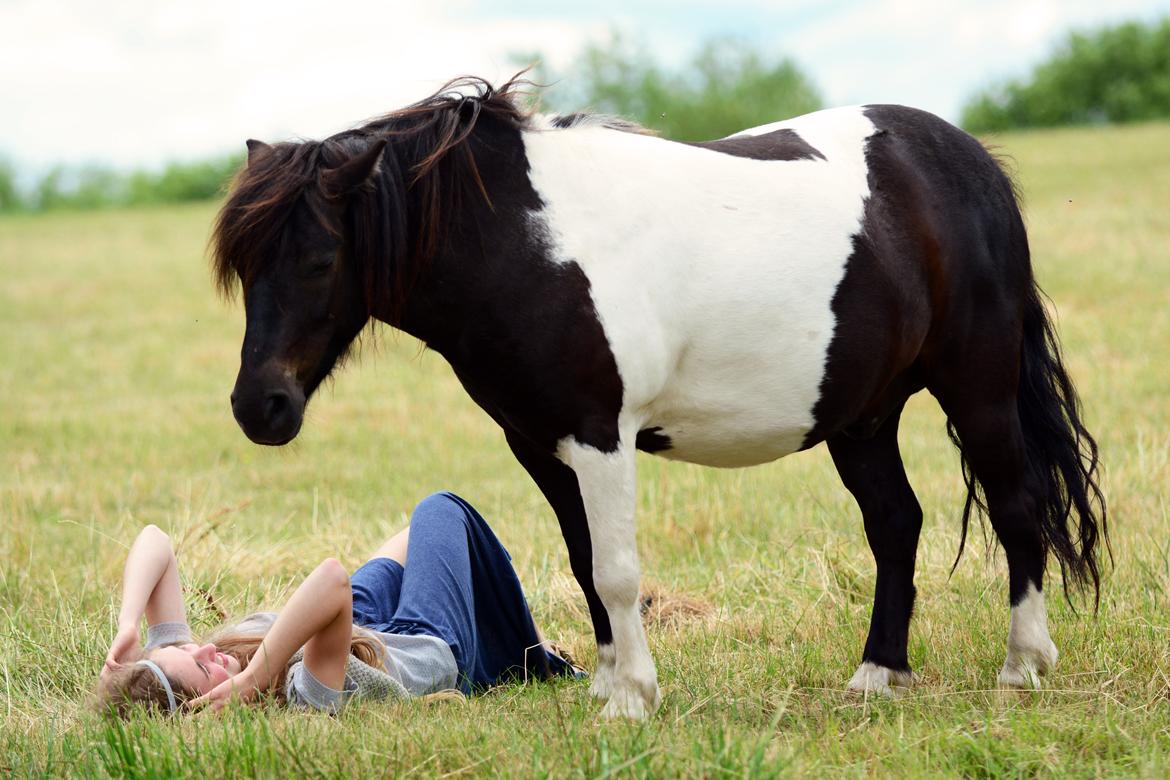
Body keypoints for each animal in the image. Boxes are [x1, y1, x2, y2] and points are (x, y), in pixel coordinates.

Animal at [210, 74, 1104, 720]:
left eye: (322, 259)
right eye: (246, 268)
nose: (261, 410)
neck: (525, 243)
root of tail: (970, 163)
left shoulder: (600, 437)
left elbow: (615, 571)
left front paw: (633, 700)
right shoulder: (540, 446)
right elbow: (582, 565)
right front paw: (611, 685)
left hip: (978, 389)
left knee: (1017, 507)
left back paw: (1023, 666)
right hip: (863, 417)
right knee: (896, 525)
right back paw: (878, 676)